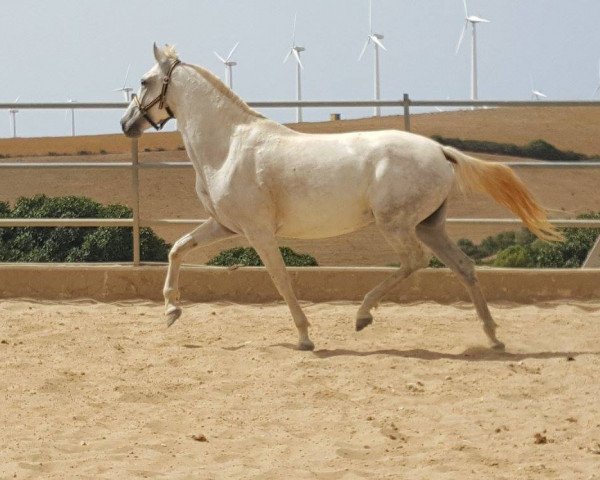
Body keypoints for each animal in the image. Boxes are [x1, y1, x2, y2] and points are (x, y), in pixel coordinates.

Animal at [119, 45, 560, 350]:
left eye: (142, 81)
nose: (125, 124)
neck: (228, 146)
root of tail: (439, 151)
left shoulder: (258, 232)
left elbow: (280, 279)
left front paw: (304, 337)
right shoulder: (225, 225)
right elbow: (178, 248)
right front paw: (172, 310)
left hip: (397, 225)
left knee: (414, 262)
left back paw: (363, 316)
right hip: (429, 225)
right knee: (464, 267)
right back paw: (493, 336)